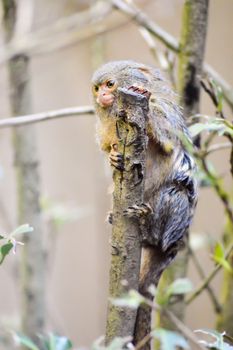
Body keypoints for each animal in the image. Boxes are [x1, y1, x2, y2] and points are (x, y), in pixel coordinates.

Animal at [92, 60, 198, 348]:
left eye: (110, 85)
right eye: (96, 88)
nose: (101, 95)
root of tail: (175, 246)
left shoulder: (166, 115)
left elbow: (169, 142)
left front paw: (146, 107)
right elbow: (111, 152)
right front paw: (114, 158)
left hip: (176, 222)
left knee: (177, 191)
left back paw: (146, 223)